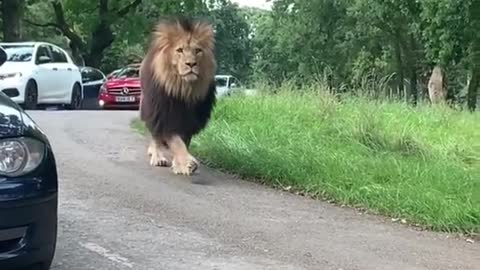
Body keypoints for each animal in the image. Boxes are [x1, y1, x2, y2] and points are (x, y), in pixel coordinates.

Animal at [139, 17, 218, 177]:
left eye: (197, 51)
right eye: (180, 50)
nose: (191, 64)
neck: (183, 89)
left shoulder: (189, 121)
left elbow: (184, 142)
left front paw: (179, 164)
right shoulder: (165, 116)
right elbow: (176, 142)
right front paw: (187, 163)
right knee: (155, 136)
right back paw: (157, 157)